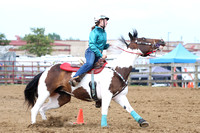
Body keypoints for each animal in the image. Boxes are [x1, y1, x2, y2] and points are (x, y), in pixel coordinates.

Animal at [24, 29, 166, 127]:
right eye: (143, 38)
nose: (162, 41)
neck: (118, 69)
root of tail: (45, 71)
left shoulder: (119, 96)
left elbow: (130, 108)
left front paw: (142, 121)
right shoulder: (107, 95)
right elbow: (105, 109)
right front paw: (104, 125)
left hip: (61, 98)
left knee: (42, 108)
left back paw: (46, 123)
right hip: (44, 93)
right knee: (35, 109)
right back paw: (34, 125)